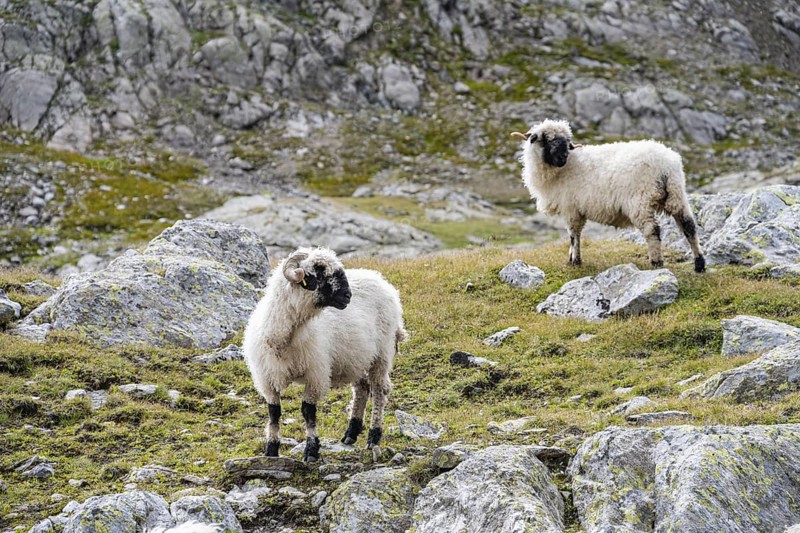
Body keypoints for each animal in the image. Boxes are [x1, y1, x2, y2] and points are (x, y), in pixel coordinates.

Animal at [243, 247, 407, 462]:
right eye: (319, 274)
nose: (347, 296)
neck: (284, 337)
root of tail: (381, 281)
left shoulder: (315, 374)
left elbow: (308, 411)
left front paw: (311, 450)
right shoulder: (267, 379)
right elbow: (274, 413)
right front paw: (271, 450)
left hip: (382, 354)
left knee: (380, 390)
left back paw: (373, 437)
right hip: (356, 358)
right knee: (362, 388)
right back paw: (351, 433)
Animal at [511, 119, 706, 273]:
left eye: (566, 141)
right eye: (547, 139)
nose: (563, 157)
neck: (559, 171)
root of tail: (666, 166)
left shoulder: (570, 209)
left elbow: (574, 236)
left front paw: (575, 261)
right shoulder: (576, 210)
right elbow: (576, 236)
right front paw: (572, 259)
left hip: (640, 201)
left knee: (652, 230)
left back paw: (656, 262)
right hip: (677, 194)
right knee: (689, 226)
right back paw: (699, 264)